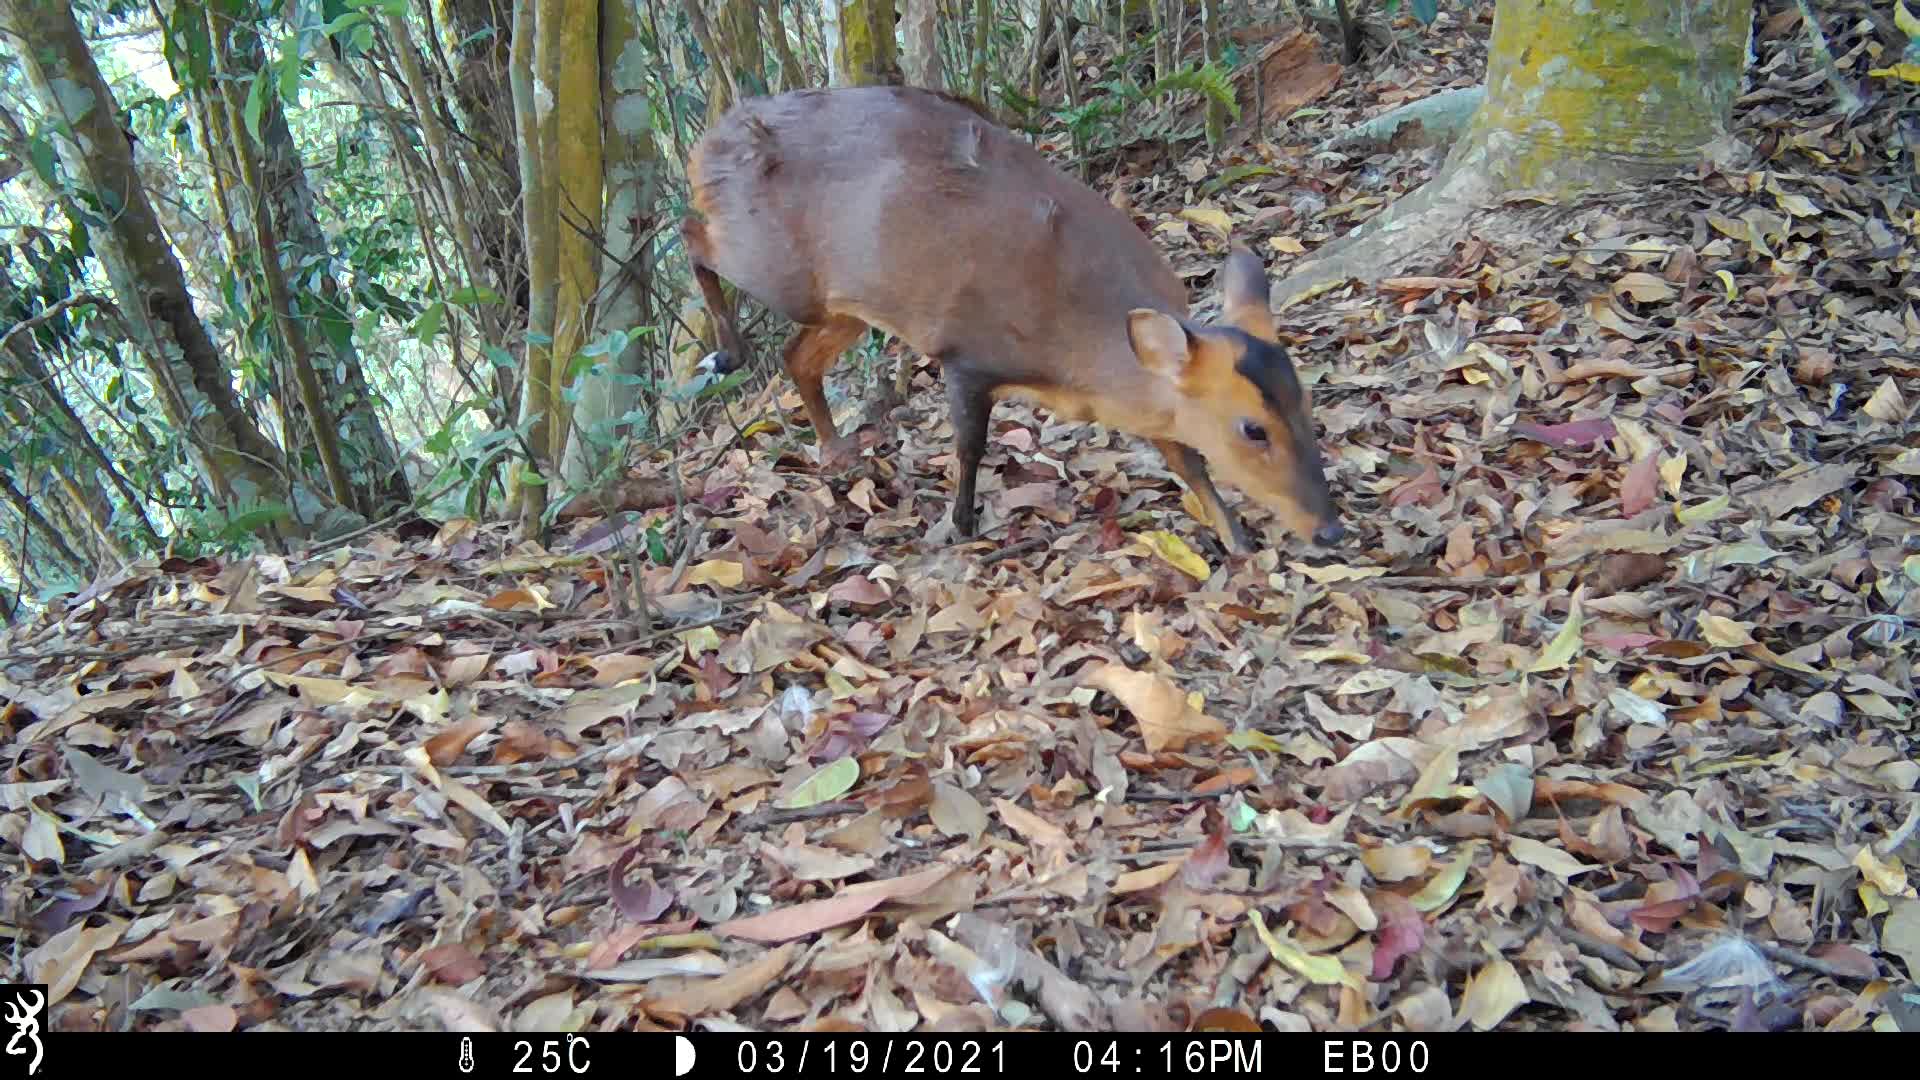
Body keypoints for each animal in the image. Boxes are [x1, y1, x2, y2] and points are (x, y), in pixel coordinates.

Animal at [683, 83, 1344, 549]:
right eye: (1252, 429)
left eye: (1306, 400)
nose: (1331, 530)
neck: (1078, 350)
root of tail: (710, 141)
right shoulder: (967, 352)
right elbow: (970, 446)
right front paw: (960, 526)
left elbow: (1186, 458)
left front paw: (1236, 539)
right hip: (778, 267)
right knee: (693, 236)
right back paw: (723, 353)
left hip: (846, 304)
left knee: (797, 355)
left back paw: (835, 451)